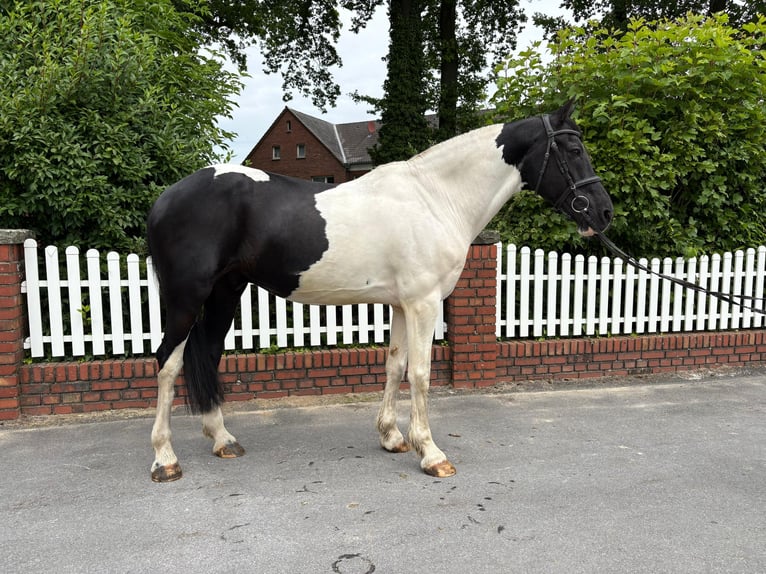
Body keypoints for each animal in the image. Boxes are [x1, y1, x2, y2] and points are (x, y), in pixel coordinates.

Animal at [146, 99, 613, 483]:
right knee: (167, 363)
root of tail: (165, 198)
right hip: (186, 297)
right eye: (574, 151)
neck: (436, 198)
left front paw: (392, 437)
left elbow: (395, 365)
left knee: (206, 353)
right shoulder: (424, 304)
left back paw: (222, 439)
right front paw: (432, 453)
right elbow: (421, 374)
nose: (604, 212)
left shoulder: (403, 305)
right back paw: (165, 459)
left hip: (225, 292)